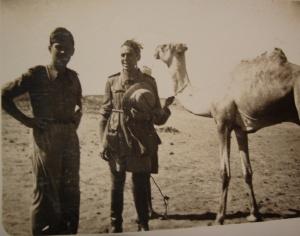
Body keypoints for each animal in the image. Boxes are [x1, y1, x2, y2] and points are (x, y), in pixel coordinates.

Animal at [155, 43, 300, 224]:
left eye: (164, 46)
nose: (154, 51)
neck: (207, 97)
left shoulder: (222, 124)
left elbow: (224, 172)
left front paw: (219, 217)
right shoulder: (239, 128)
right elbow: (247, 171)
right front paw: (254, 215)